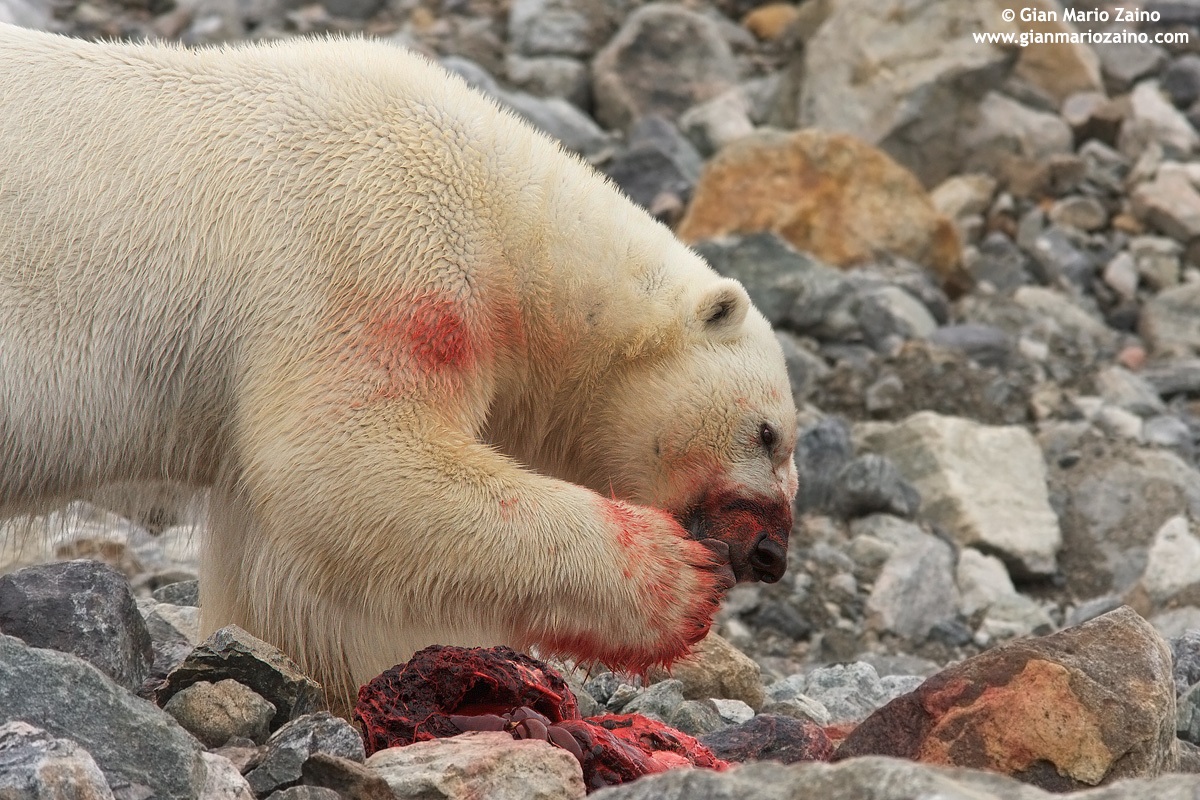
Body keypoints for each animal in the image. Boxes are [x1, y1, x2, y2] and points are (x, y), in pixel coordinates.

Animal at [0, 24, 799, 708]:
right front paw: (675, 581)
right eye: (767, 434)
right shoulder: (379, 250)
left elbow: (275, 564)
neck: (507, 215)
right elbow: (345, 458)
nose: (770, 554)